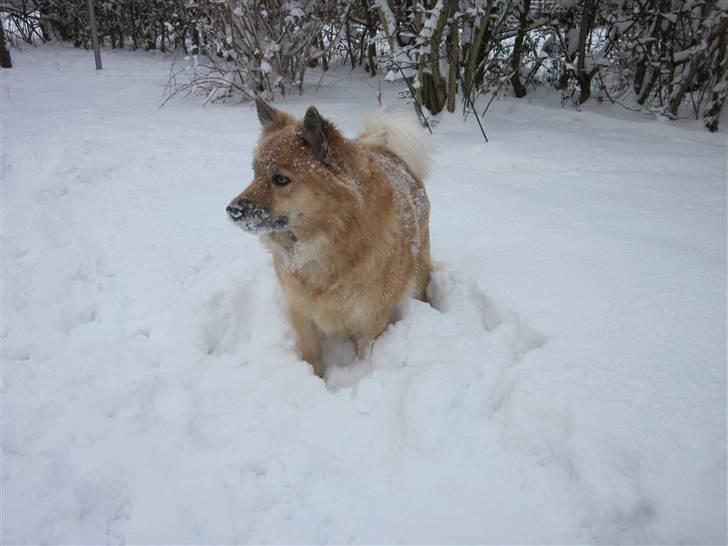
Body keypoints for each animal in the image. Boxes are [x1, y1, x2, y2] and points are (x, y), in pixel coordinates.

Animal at [228, 98, 432, 376]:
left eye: (280, 179)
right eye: (254, 172)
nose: (232, 211)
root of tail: (387, 150)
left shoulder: (370, 320)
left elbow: (363, 357)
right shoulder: (301, 311)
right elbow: (312, 355)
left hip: (419, 267)